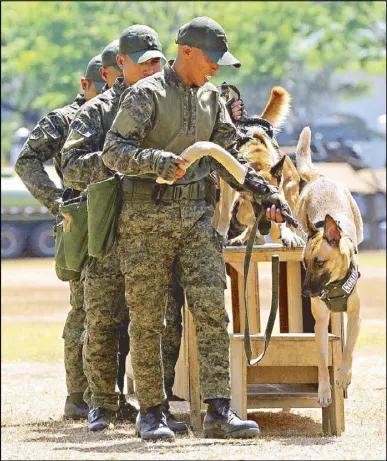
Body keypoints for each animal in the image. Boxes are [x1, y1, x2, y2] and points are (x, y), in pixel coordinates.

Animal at [296, 126, 366, 406]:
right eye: (304, 264)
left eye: (320, 262)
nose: (305, 293)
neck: (334, 284)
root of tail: (320, 177)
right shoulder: (320, 323)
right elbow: (322, 360)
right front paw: (325, 390)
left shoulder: (356, 316)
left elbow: (348, 350)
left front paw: (344, 376)